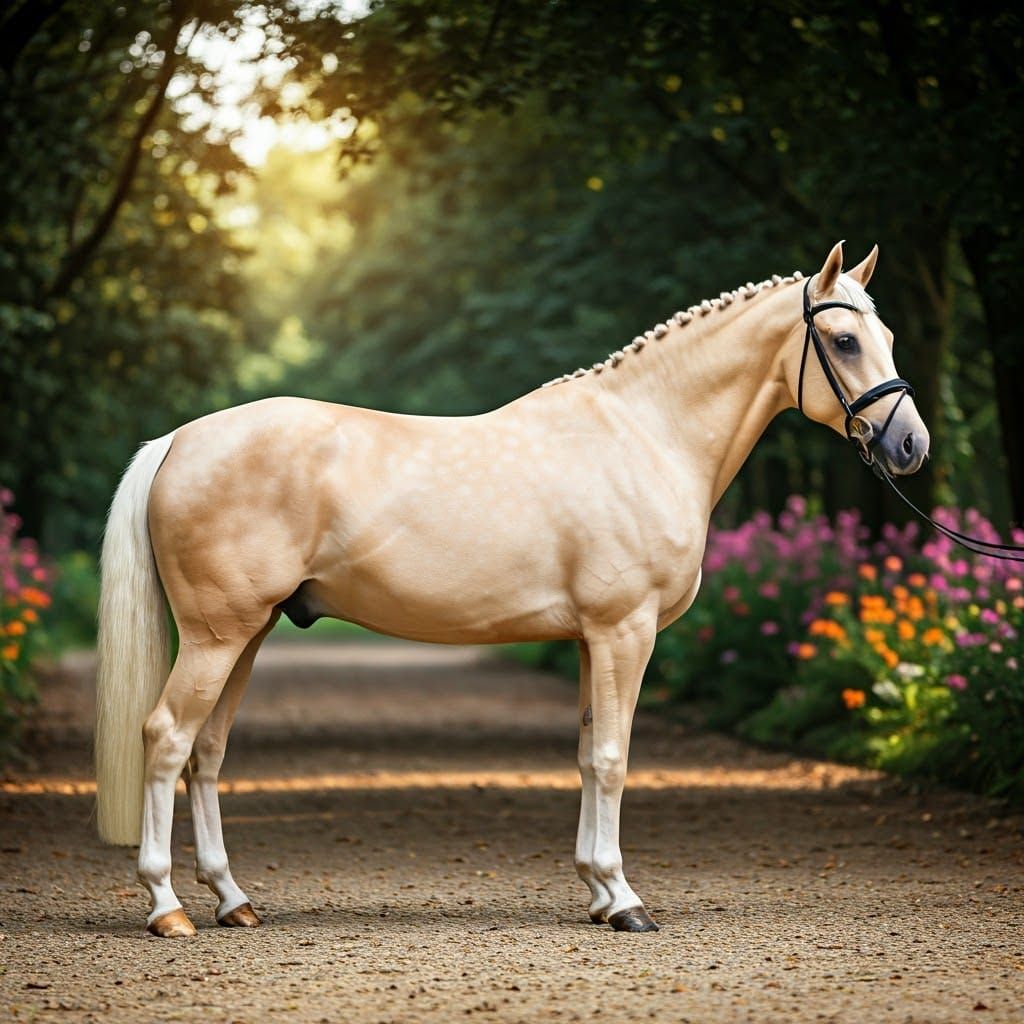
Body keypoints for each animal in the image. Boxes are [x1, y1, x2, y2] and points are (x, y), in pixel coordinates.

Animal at [94, 241, 928, 937]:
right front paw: (626, 901)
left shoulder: (594, 639)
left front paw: (598, 891)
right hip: (218, 635)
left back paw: (232, 900)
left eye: (889, 337)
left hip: (250, 632)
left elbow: (589, 753)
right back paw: (167, 907)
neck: (645, 435)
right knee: (166, 739)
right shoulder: (625, 631)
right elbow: (614, 758)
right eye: (845, 341)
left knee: (206, 750)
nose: (910, 444)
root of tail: (178, 440)